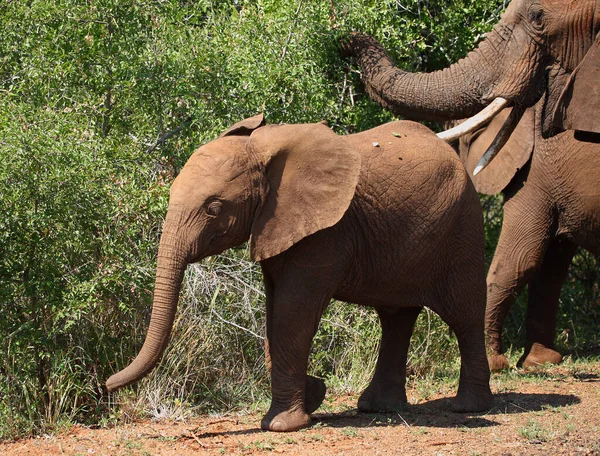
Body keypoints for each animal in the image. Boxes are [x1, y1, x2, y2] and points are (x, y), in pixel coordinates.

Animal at [106, 114, 492, 432]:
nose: (108, 384)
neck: (264, 150)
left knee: (464, 313)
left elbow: (293, 313)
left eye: (214, 208)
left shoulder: (324, 232)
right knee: (396, 316)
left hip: (462, 227)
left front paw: (282, 424)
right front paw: (314, 396)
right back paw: (378, 408)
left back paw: (467, 407)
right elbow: (274, 311)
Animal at [342, 0, 600, 370]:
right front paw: (541, 363)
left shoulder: (538, 173)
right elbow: (549, 264)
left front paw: (495, 364)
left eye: (538, 18)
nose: (345, 40)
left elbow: (521, 257)